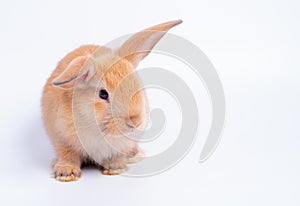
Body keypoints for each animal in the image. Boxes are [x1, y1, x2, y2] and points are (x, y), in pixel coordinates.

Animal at [41, 18, 183, 180]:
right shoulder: (62, 139)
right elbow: (67, 155)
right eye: (103, 94)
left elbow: (116, 157)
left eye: (137, 84)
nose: (135, 121)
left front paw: (115, 169)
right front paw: (66, 174)